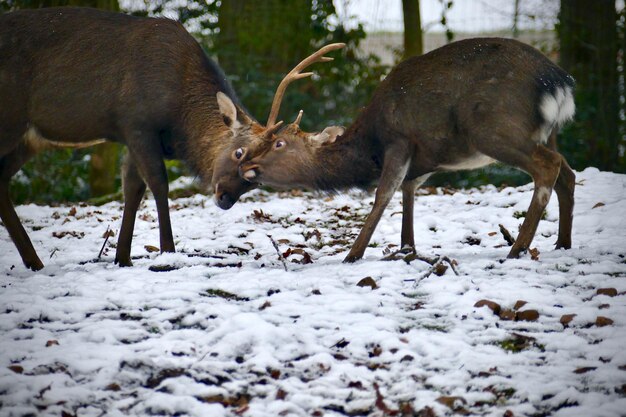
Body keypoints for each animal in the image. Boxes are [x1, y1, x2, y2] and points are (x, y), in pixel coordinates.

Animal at [0, 6, 344, 270]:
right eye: (238, 152)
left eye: (255, 179)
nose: (225, 198)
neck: (180, 123)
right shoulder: (136, 122)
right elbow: (157, 183)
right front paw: (168, 251)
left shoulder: (134, 138)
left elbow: (132, 189)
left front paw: (123, 258)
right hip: (11, 117)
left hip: (27, 138)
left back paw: (34, 261)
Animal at [233, 37, 576, 262]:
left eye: (279, 143)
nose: (244, 165)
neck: (370, 148)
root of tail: (559, 83)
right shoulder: (422, 162)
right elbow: (407, 195)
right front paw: (406, 247)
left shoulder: (399, 140)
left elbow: (382, 195)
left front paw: (353, 254)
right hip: (547, 133)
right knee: (567, 172)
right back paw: (562, 243)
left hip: (494, 129)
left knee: (548, 166)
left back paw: (518, 248)